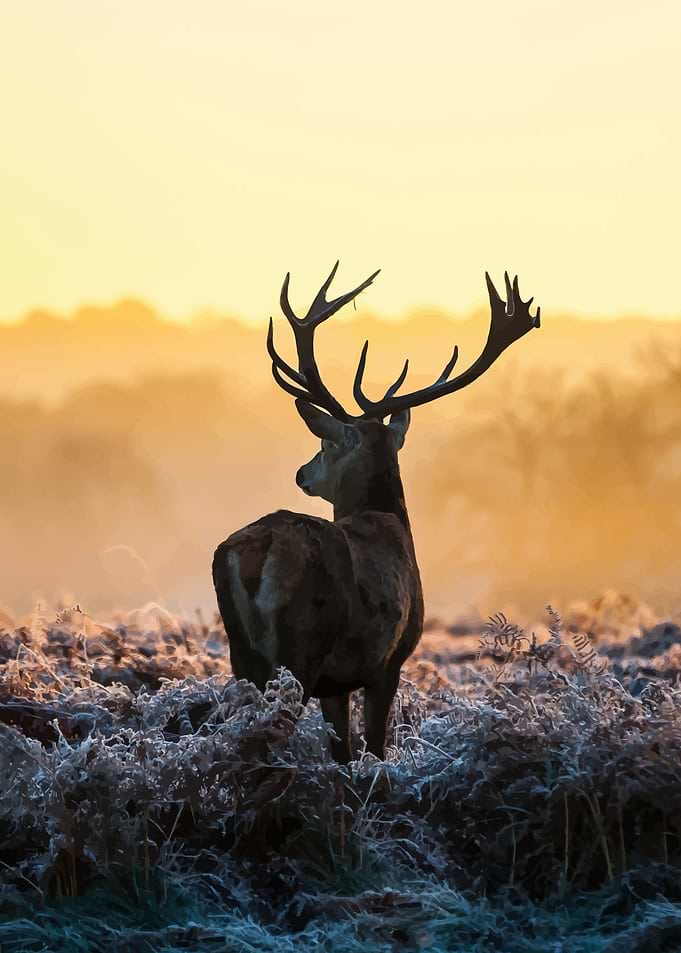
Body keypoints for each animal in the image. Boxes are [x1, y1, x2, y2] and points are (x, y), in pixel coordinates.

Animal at [212, 263, 540, 762]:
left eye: (325, 444)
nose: (302, 473)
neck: (391, 523)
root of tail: (255, 550)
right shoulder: (388, 661)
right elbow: (376, 748)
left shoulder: (337, 683)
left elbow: (344, 752)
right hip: (301, 647)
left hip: (242, 653)